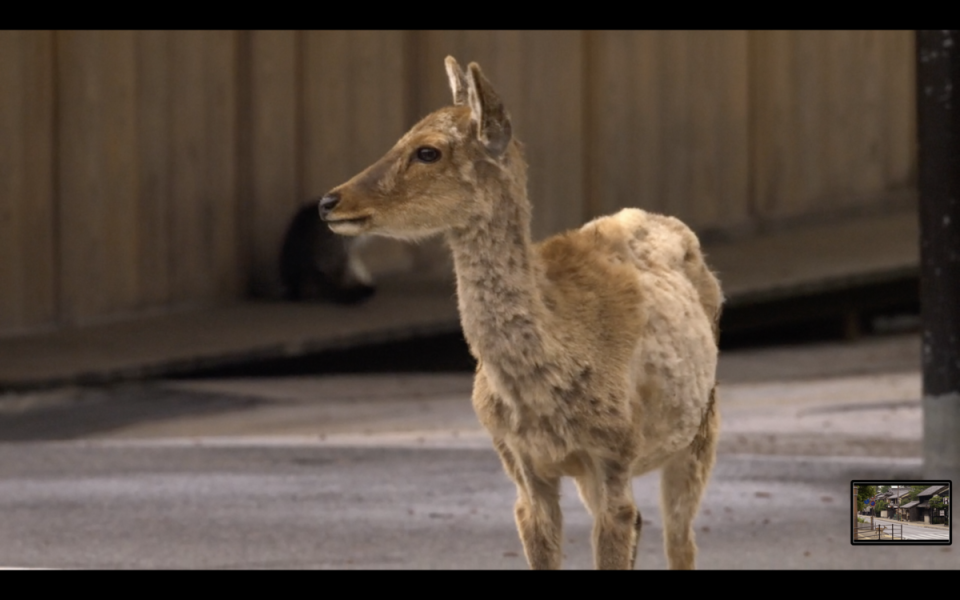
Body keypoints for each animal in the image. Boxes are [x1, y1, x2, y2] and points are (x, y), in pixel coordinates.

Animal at [316, 57, 720, 572]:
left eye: (428, 152)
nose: (330, 202)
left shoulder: (613, 453)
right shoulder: (519, 462)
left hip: (701, 428)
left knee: (681, 542)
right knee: (646, 525)